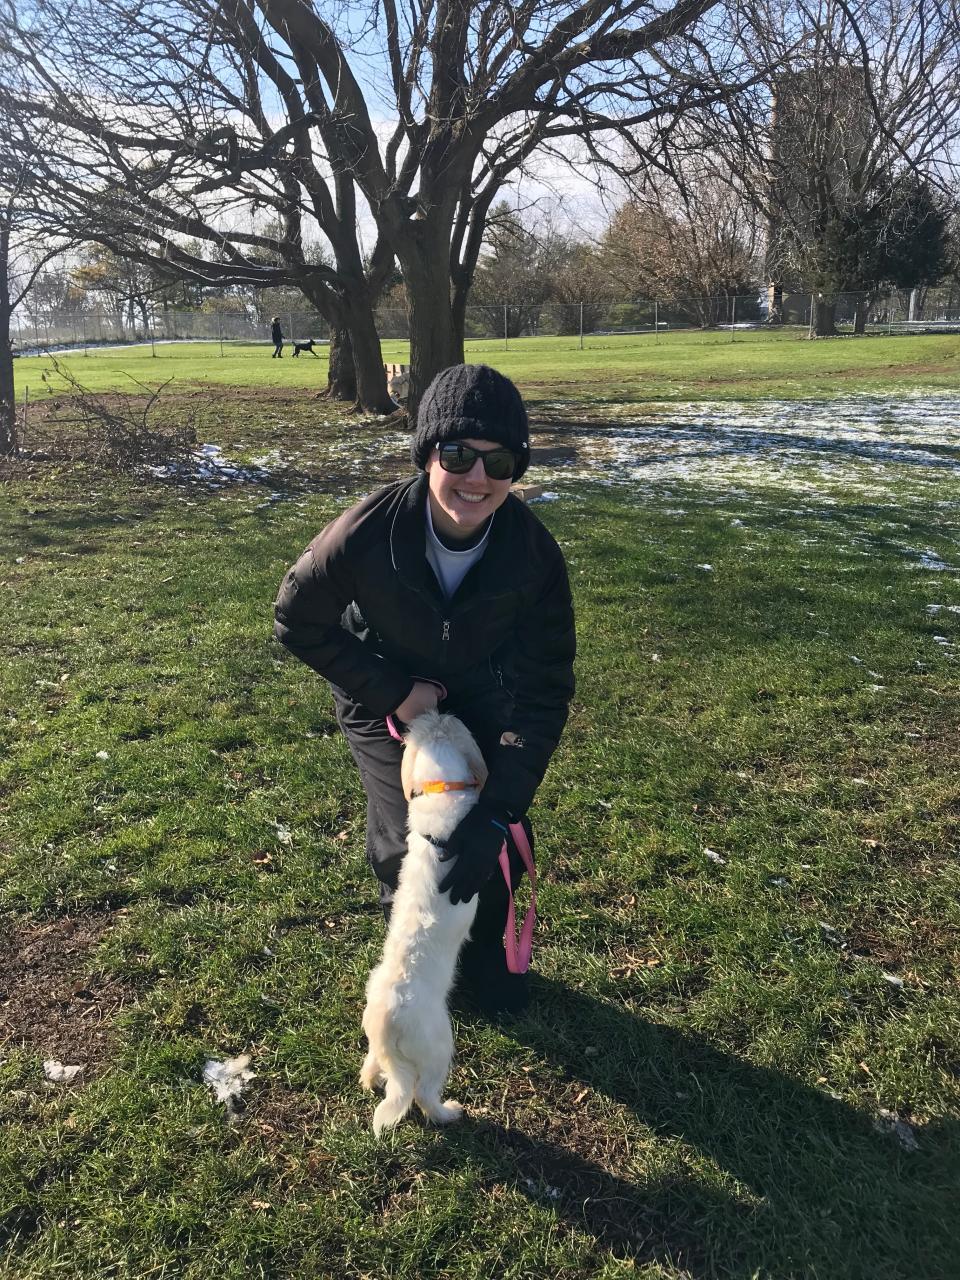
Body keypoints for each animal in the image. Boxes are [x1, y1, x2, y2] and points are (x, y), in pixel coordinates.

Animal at [359, 710, 488, 1135]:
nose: (437, 709)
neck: (438, 789)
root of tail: (387, 1022)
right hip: (437, 1050)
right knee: (422, 1095)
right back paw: (450, 1112)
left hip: (379, 1048)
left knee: (371, 1068)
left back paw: (371, 1080)